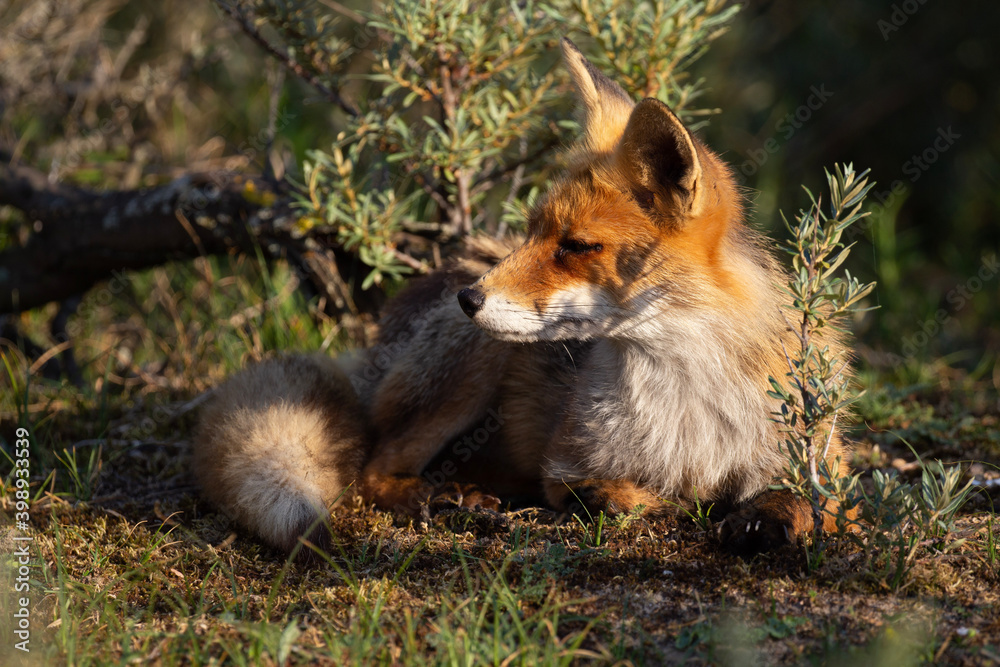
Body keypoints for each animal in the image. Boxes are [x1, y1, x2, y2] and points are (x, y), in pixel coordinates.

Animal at [193, 38, 854, 557]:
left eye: (576, 246)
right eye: (533, 231)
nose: (470, 298)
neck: (682, 407)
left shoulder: (830, 467)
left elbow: (809, 501)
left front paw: (769, 518)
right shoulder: (565, 463)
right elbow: (617, 497)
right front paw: (671, 504)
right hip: (474, 363)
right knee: (374, 466)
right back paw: (438, 496)